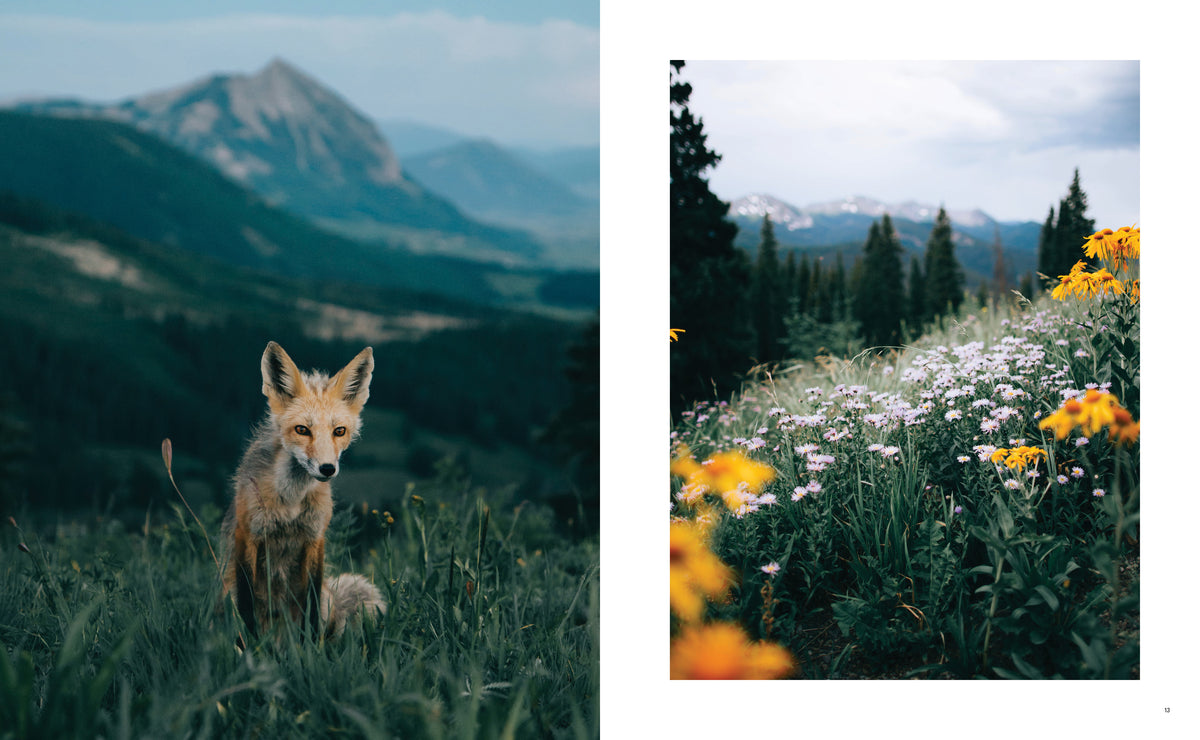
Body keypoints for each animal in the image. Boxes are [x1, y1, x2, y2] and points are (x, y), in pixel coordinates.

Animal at [219, 341, 386, 641]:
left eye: (339, 431)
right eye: (302, 430)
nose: (327, 469)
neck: (290, 502)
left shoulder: (314, 538)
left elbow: (311, 606)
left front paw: (309, 648)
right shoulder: (248, 536)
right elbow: (247, 607)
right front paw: (249, 647)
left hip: (327, 598)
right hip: (226, 593)